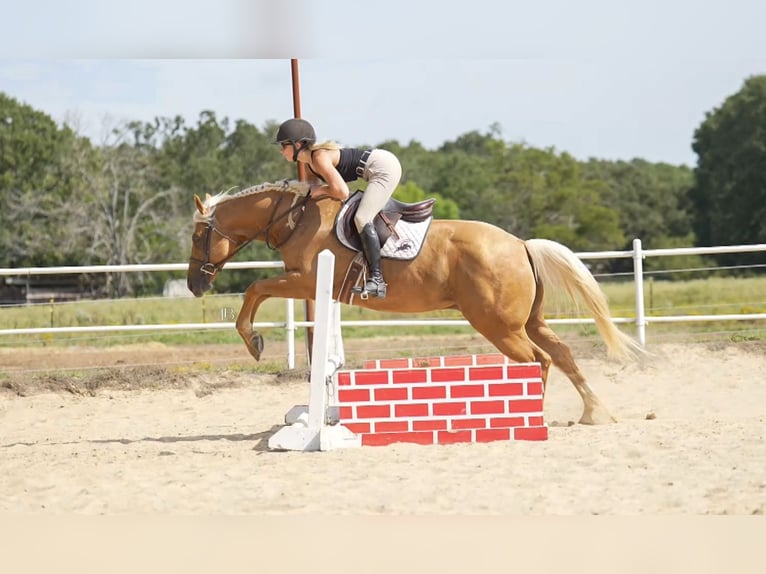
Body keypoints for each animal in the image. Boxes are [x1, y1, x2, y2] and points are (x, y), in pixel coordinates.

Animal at [186, 180, 642, 425]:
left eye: (197, 235)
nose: (193, 285)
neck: (295, 217)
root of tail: (520, 244)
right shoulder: (309, 285)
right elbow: (259, 289)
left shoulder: (305, 282)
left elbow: (255, 288)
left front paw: (253, 342)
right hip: (526, 321)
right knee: (560, 354)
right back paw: (592, 412)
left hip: (498, 326)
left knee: (538, 360)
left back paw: (528, 412)